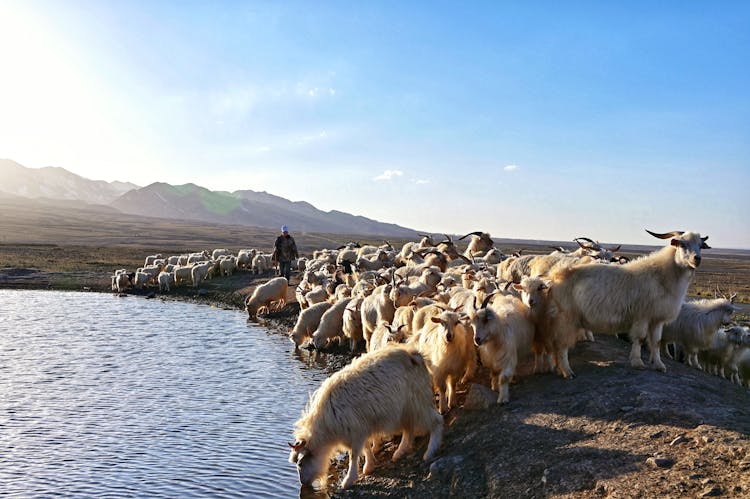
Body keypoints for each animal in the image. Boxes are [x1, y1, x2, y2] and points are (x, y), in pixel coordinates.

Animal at [288, 346, 440, 490]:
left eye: (300, 463)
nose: (303, 483)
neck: (326, 427)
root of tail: (414, 354)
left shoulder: (355, 432)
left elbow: (354, 455)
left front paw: (348, 480)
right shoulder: (362, 428)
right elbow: (366, 448)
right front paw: (369, 466)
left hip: (417, 403)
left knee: (436, 420)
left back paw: (430, 452)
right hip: (406, 410)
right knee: (409, 429)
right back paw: (399, 452)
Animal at [548, 230, 712, 378]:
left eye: (700, 245)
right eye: (682, 244)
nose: (697, 259)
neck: (661, 276)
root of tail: (556, 275)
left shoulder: (656, 319)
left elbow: (656, 342)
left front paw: (659, 365)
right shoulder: (642, 316)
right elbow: (639, 338)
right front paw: (637, 362)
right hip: (566, 318)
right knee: (561, 345)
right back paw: (567, 372)